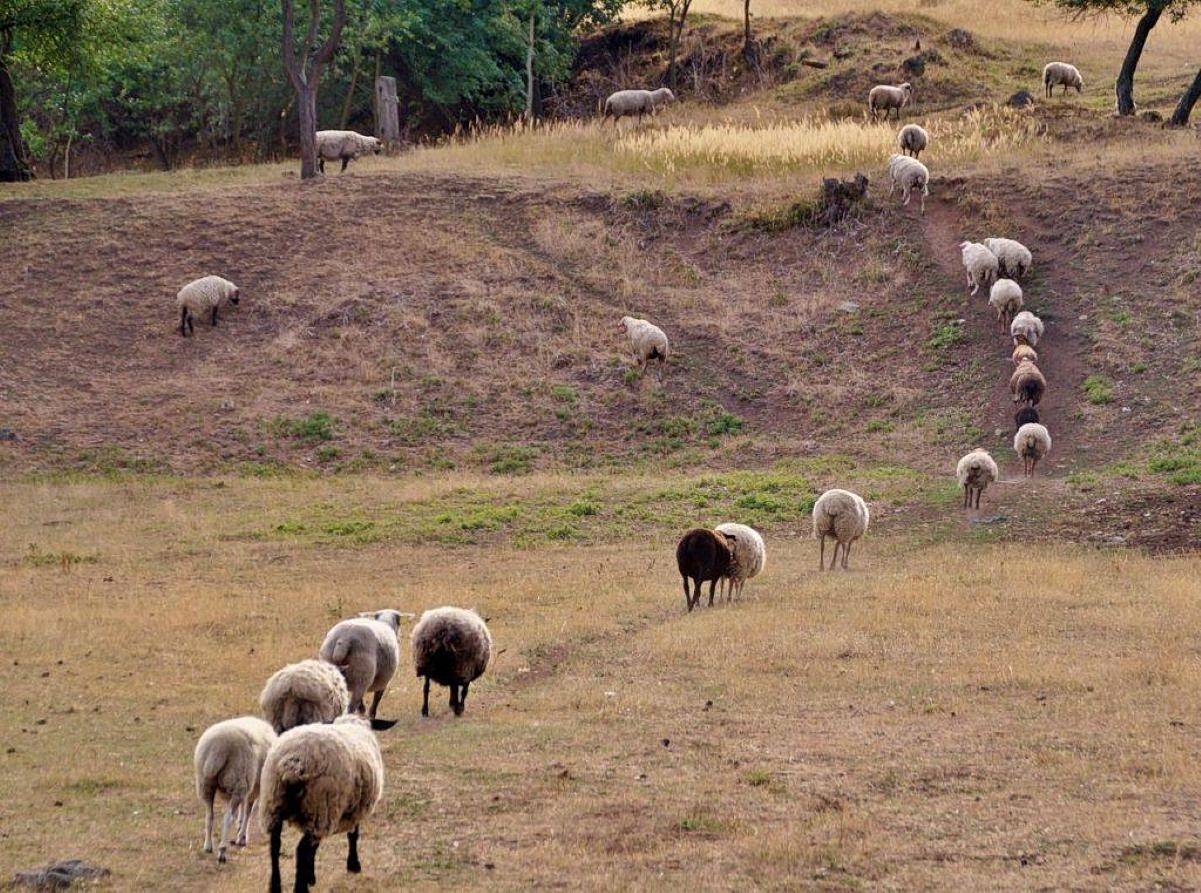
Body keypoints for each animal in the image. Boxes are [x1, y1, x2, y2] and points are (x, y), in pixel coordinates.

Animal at [193, 716, 277, 863]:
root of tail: (218, 749)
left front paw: (240, 828)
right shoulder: (254, 786)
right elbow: (248, 810)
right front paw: (242, 836)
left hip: (206, 783)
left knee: (209, 815)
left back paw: (208, 846)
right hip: (239, 780)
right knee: (227, 818)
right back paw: (222, 851)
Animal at [260, 715, 384, 893]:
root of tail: (293, 764)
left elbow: (314, 848)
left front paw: (311, 876)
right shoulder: (355, 809)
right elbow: (353, 835)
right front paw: (353, 865)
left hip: (273, 805)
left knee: (275, 845)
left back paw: (275, 886)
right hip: (320, 808)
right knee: (301, 849)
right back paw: (300, 889)